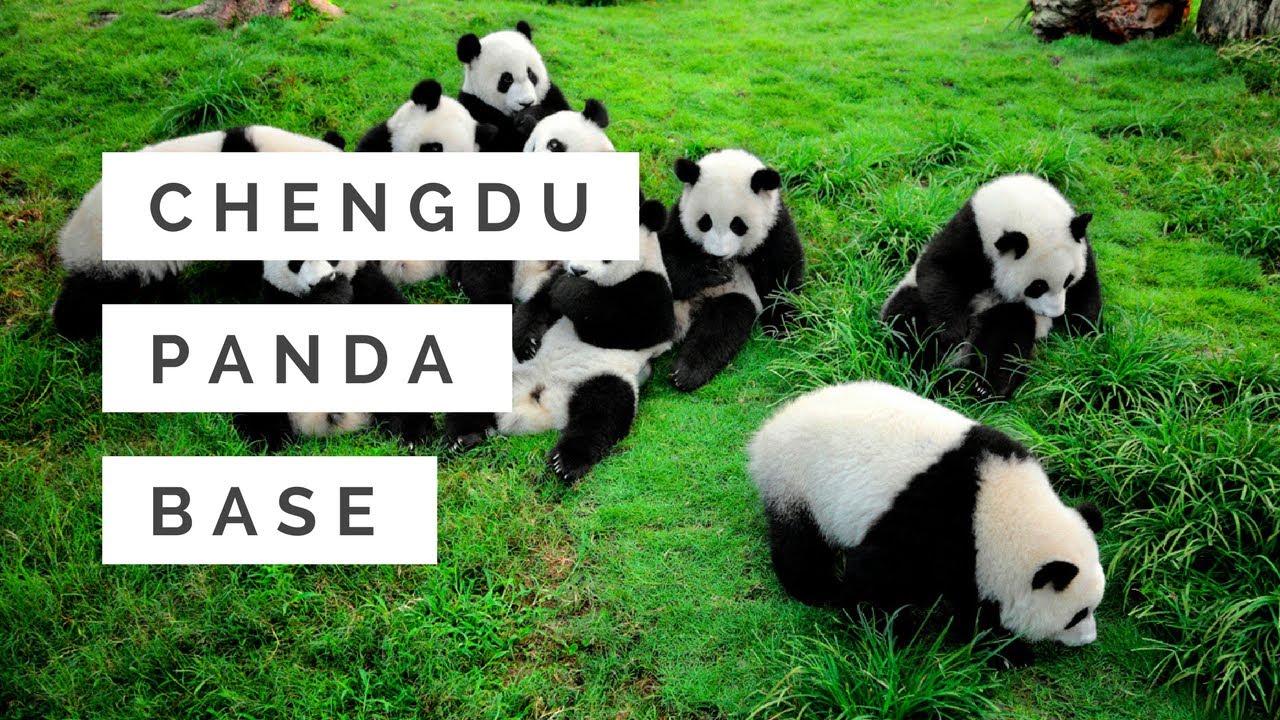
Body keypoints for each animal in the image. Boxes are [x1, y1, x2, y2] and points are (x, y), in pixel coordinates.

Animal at [444, 195, 675, 483]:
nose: (577, 270)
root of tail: (531, 404)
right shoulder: (552, 277)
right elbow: (538, 305)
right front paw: (527, 341)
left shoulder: (653, 289)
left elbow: (630, 326)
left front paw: (571, 292)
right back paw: (465, 435)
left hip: (602, 376)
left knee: (603, 412)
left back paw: (566, 461)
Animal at [658, 149, 806, 391]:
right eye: (705, 222)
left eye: (738, 225)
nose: (718, 255)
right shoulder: (678, 223)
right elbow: (666, 260)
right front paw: (710, 273)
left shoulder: (774, 227)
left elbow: (781, 275)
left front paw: (784, 326)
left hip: (732, 297)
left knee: (722, 325)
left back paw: (686, 373)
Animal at [747, 380, 1105, 667]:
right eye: (1077, 614)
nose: (1089, 639)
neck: (996, 508)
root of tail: (767, 432)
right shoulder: (931, 523)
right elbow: (874, 577)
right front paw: (888, 629)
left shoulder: (971, 553)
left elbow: (972, 600)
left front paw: (999, 646)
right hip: (798, 481)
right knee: (800, 544)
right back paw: (816, 589)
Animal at [880, 174, 1102, 399]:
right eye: (1038, 286)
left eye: (1067, 280)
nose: (1054, 314)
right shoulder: (969, 234)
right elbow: (938, 268)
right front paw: (952, 334)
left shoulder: (1081, 247)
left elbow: (1086, 286)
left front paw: (1085, 329)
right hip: (911, 298)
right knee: (906, 326)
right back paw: (935, 375)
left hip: (1005, 313)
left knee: (1008, 338)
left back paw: (986, 385)